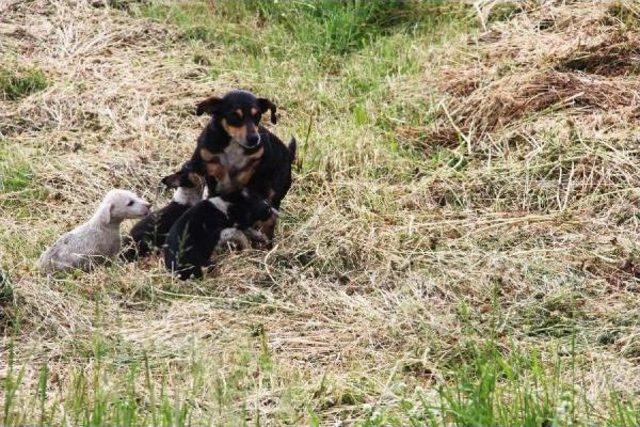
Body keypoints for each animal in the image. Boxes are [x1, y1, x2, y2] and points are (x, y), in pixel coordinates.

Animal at [189, 89, 296, 244]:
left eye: (257, 115)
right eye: (234, 116)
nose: (254, 139)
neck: (233, 144)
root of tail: (289, 155)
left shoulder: (260, 154)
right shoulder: (205, 157)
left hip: (275, 192)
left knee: (270, 220)